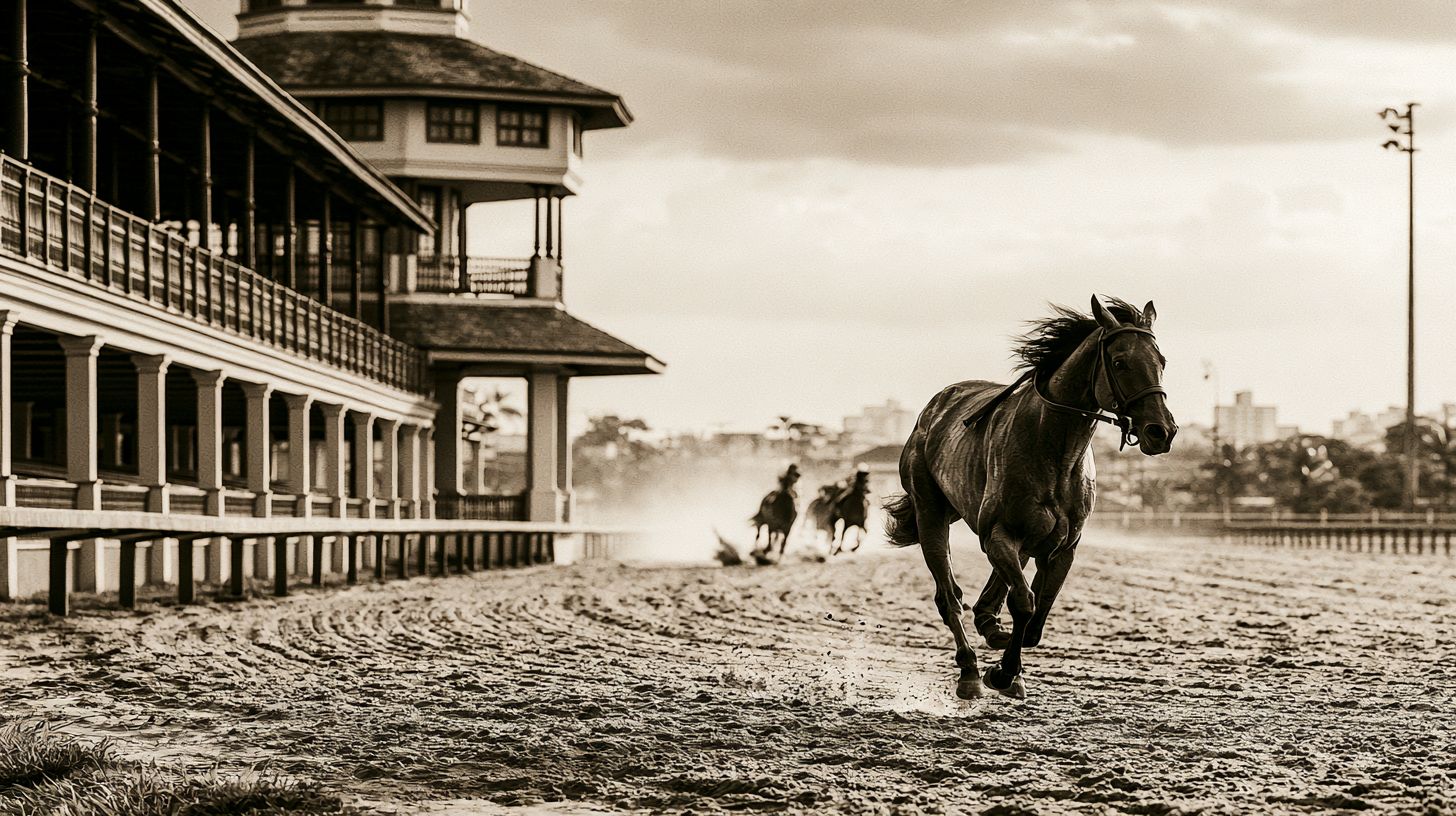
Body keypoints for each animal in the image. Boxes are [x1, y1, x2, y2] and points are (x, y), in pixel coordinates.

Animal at [883, 296, 1176, 700]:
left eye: (1161, 361)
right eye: (1120, 362)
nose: (1161, 431)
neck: (1054, 449)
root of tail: (933, 409)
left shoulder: (1062, 547)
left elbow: (1037, 617)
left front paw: (1009, 661)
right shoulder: (999, 534)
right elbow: (1023, 603)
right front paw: (1003, 673)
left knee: (988, 599)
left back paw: (992, 629)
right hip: (931, 513)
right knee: (948, 596)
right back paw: (970, 670)